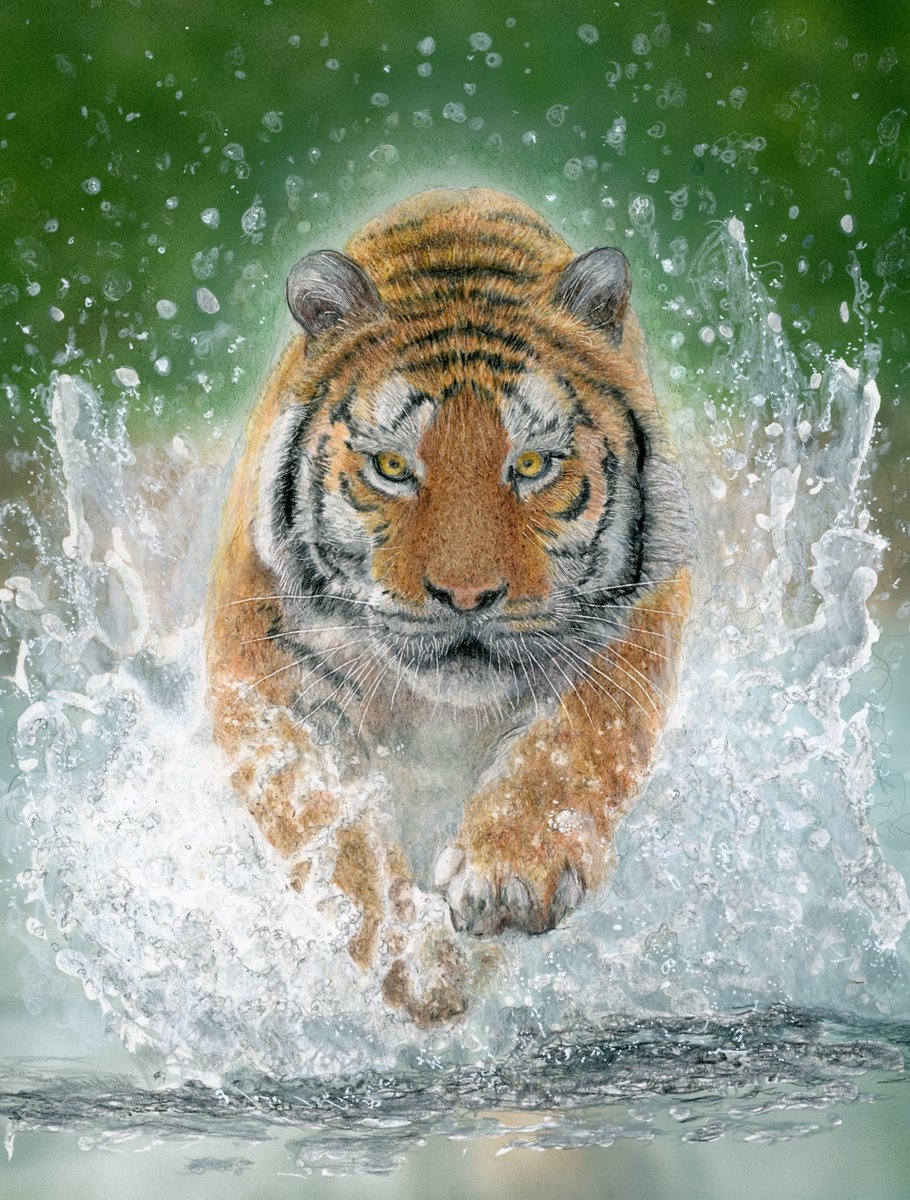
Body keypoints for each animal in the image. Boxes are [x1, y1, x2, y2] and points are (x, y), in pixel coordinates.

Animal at [206, 187, 691, 1026]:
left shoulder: (638, 625)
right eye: (393, 467)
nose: (467, 596)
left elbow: (577, 745)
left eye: (530, 464)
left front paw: (511, 879)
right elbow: (324, 818)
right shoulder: (262, 661)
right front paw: (417, 963)